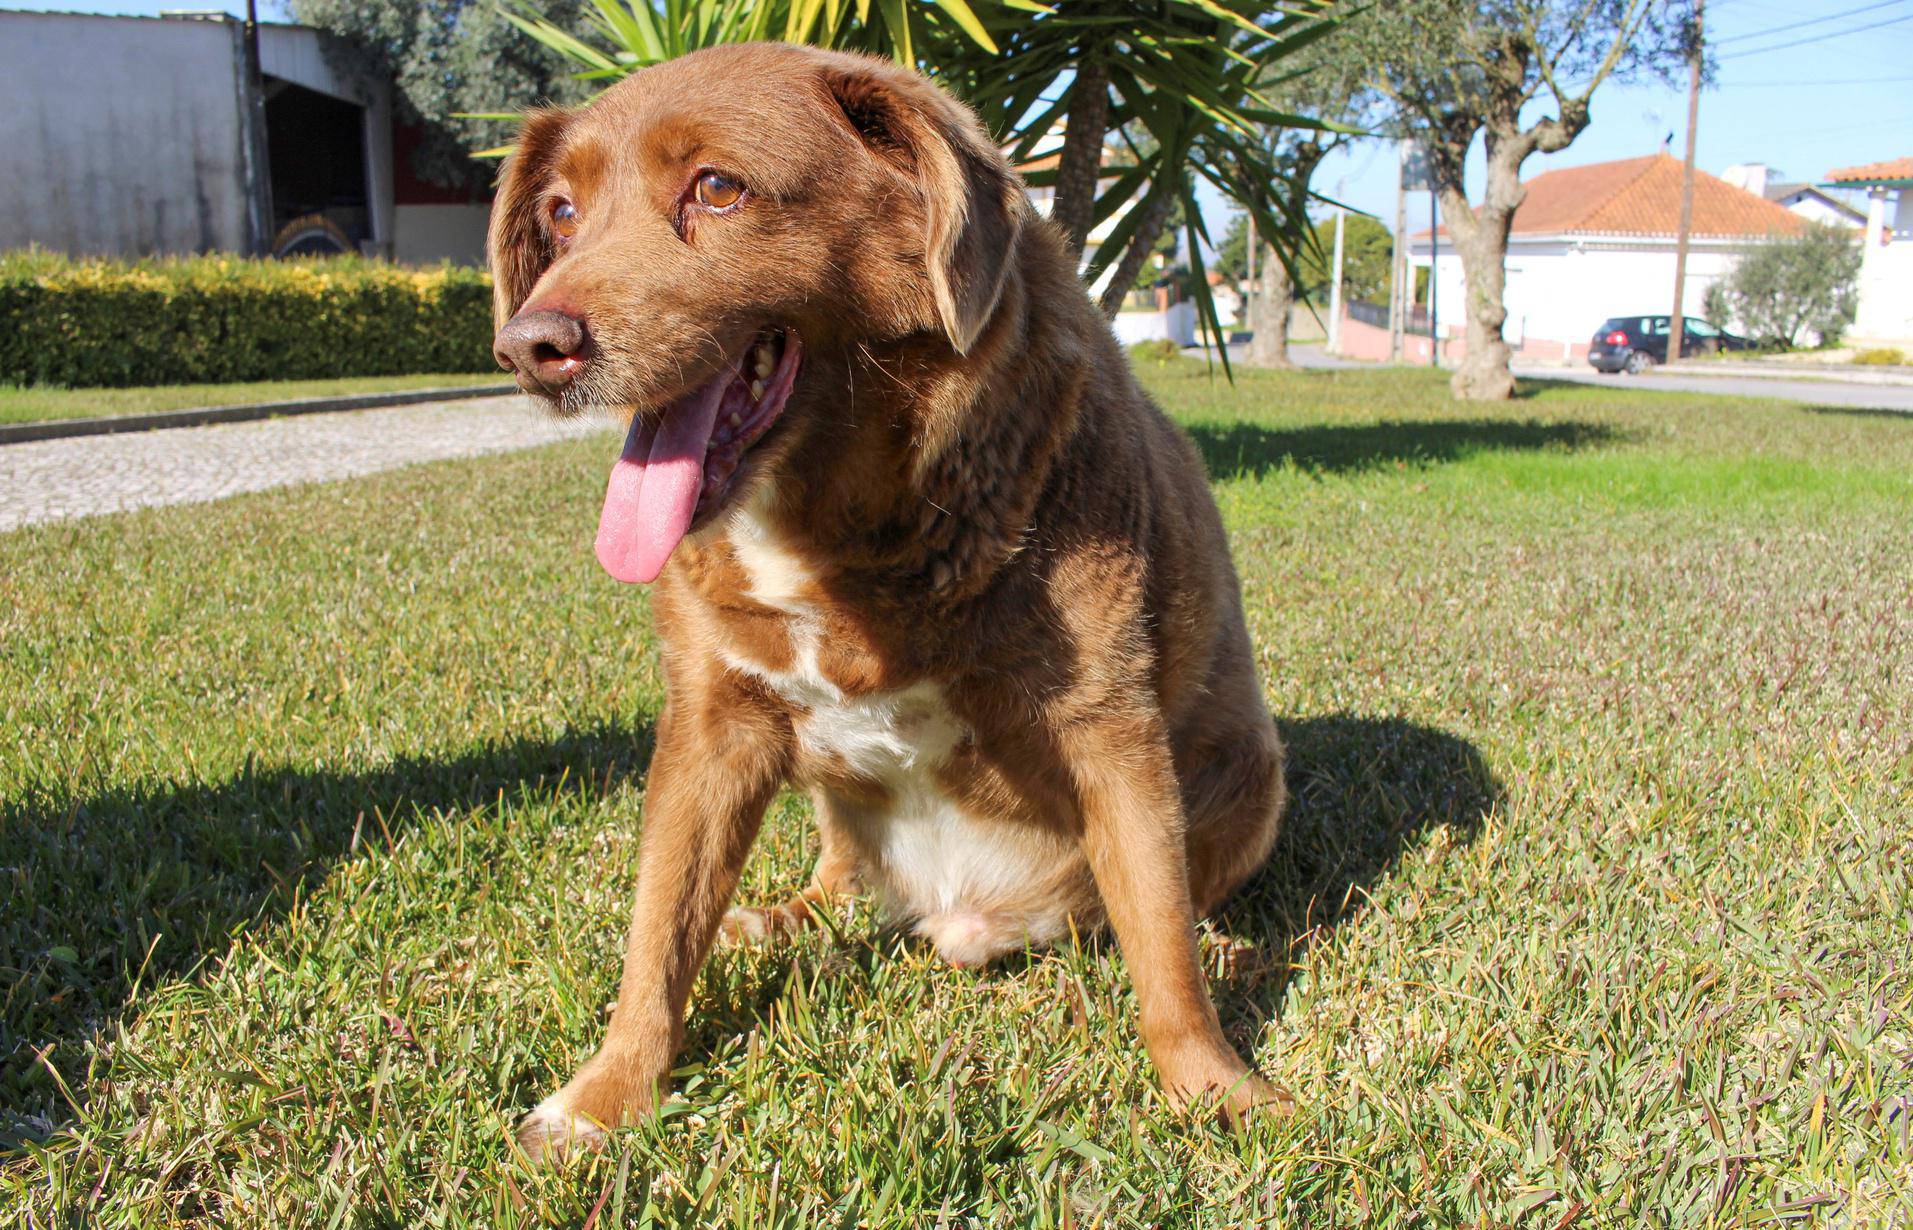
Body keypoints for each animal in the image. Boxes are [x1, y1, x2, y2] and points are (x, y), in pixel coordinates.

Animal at [493, 43, 1293, 1163]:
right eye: (561, 215)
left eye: (717, 188)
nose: (530, 347)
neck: (834, 524)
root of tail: (952, 910)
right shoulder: (711, 726)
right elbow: (656, 935)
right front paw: (606, 1096)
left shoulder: (1110, 726)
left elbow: (1161, 949)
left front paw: (1215, 1088)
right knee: (825, 891)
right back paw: (767, 920)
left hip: (1253, 778)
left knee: (1147, 908)